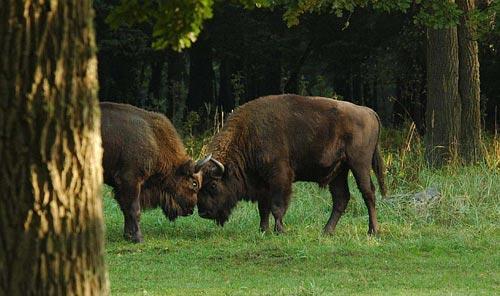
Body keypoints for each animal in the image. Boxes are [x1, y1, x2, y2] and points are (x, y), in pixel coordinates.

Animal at [100, 102, 210, 243]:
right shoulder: (130, 181)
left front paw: (128, 236)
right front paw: (138, 238)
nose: (191, 209)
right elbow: (133, 209)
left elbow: (125, 209)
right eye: (194, 183)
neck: (154, 138)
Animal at [198, 95, 386, 236]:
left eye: (213, 185)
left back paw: (373, 231)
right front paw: (263, 230)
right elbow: (263, 207)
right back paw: (326, 231)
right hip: (339, 171)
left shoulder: (280, 177)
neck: (247, 136)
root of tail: (368, 111)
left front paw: (280, 230)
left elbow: (277, 206)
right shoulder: (263, 184)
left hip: (359, 164)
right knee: (341, 198)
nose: (202, 213)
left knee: (368, 193)